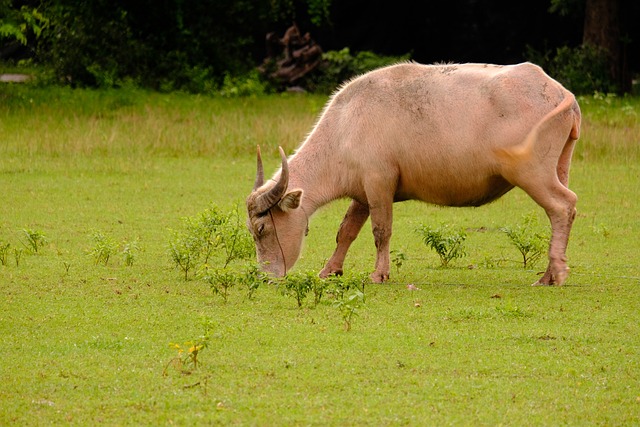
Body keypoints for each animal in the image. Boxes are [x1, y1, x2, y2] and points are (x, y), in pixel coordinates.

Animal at [245, 61, 580, 286]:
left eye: (261, 229)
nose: (266, 277)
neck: (345, 125)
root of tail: (560, 92)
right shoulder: (362, 193)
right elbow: (346, 231)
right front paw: (331, 270)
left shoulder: (379, 184)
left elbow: (381, 231)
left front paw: (379, 273)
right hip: (559, 167)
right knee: (562, 212)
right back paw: (548, 273)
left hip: (532, 173)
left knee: (562, 205)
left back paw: (555, 274)